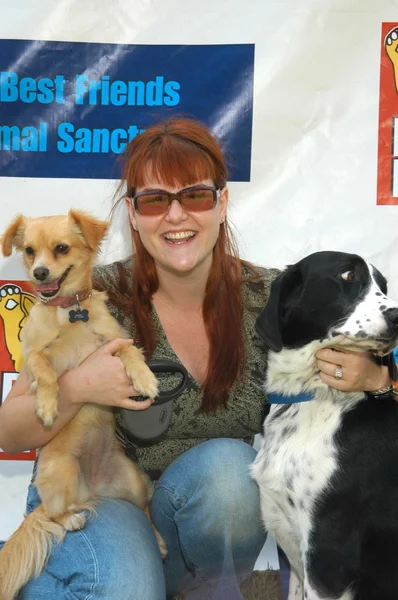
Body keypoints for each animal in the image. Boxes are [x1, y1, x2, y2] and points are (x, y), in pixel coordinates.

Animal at [0, 211, 166, 600]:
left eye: (61, 248)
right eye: (29, 251)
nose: (39, 273)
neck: (68, 313)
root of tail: (92, 489)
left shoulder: (113, 341)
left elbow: (129, 351)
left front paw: (144, 378)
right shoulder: (32, 356)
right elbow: (45, 369)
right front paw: (48, 405)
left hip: (133, 483)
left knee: (146, 511)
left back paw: (157, 540)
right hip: (59, 472)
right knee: (54, 514)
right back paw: (72, 519)